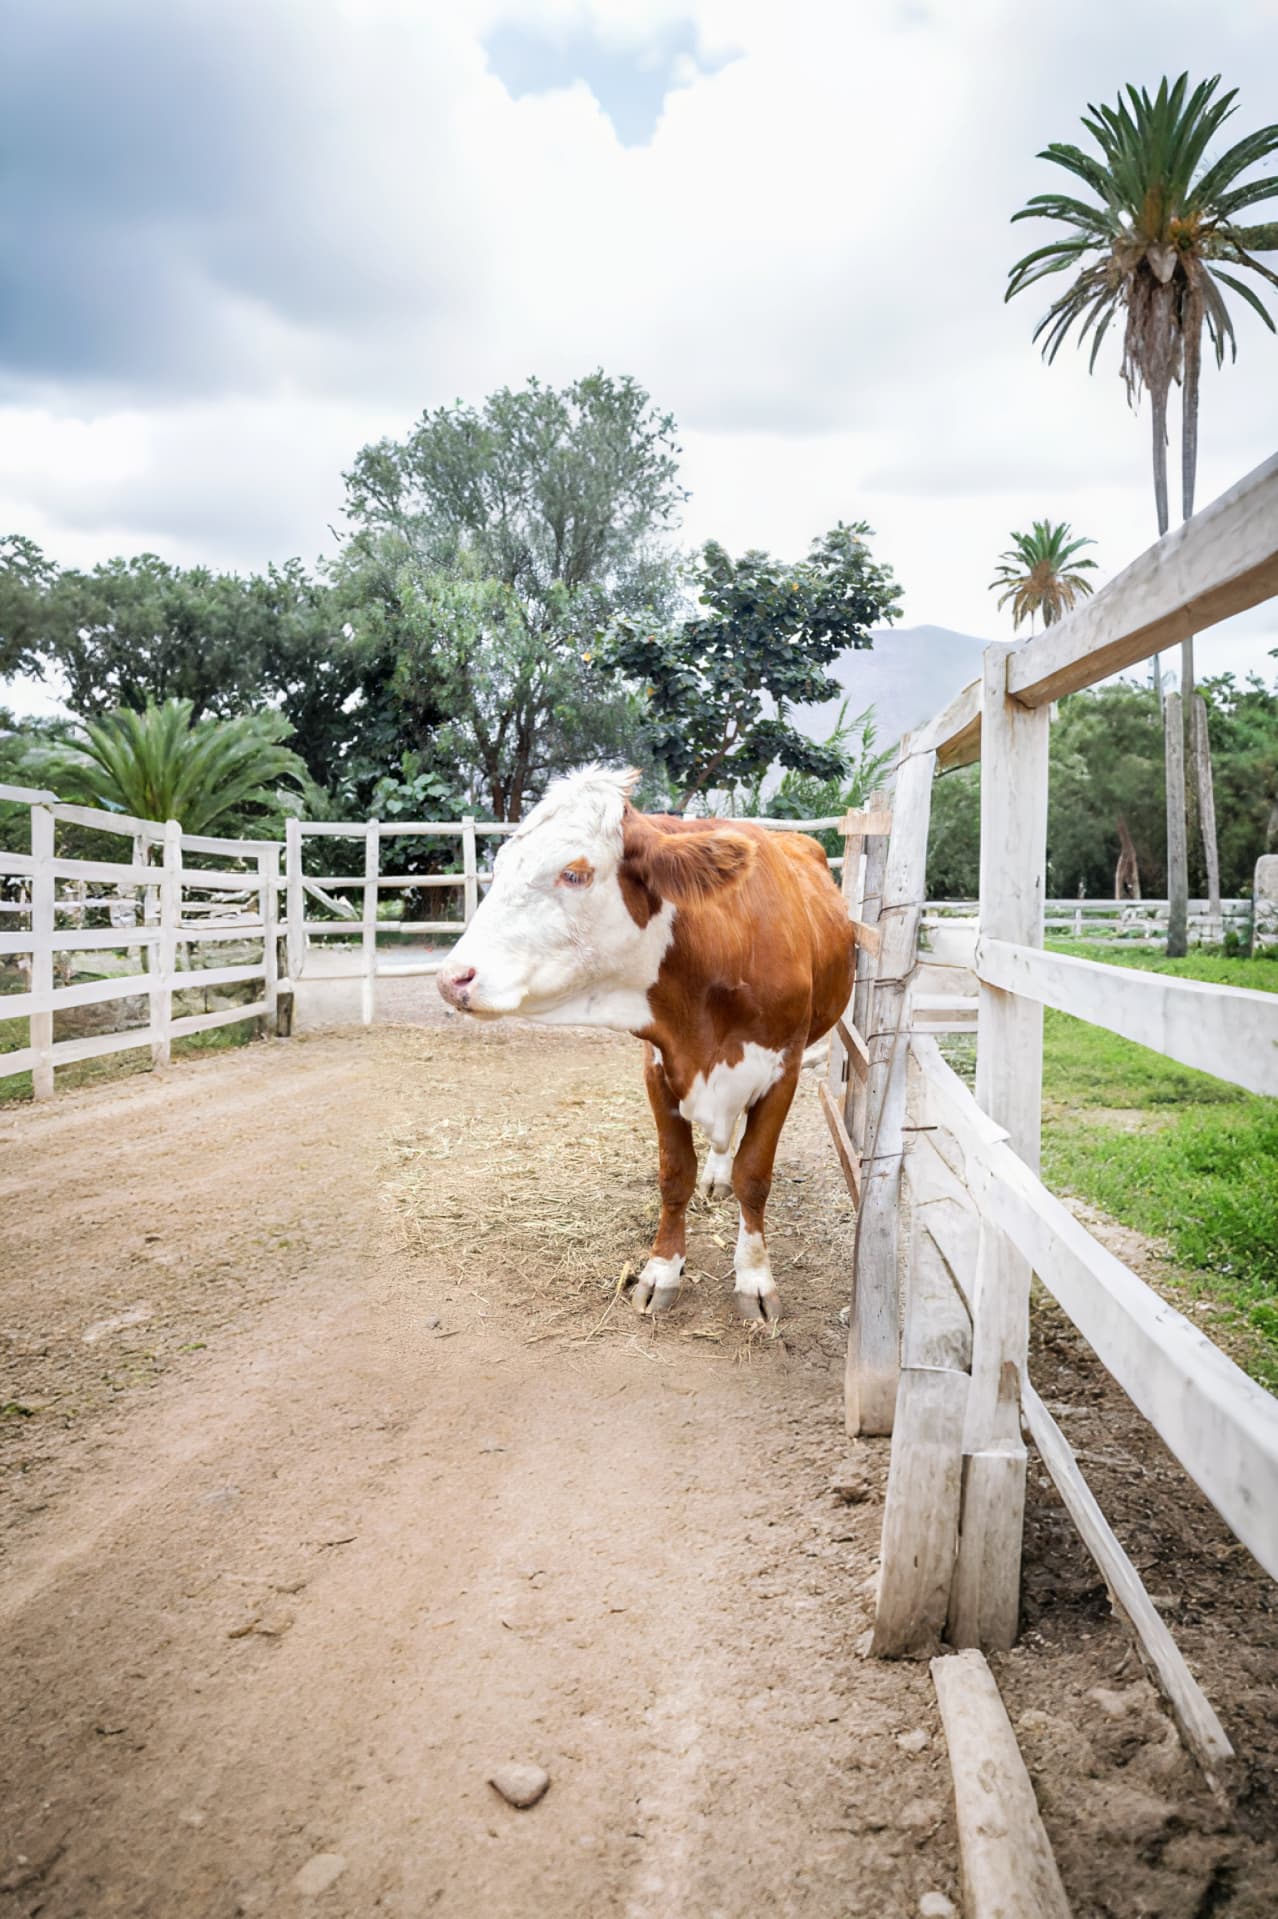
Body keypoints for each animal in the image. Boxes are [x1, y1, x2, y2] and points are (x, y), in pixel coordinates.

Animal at [436, 767, 855, 1324]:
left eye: (574, 873)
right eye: (500, 866)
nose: (451, 978)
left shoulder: (781, 1071)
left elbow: (755, 1176)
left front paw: (754, 1278)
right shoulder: (659, 1067)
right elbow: (675, 1173)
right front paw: (662, 1270)